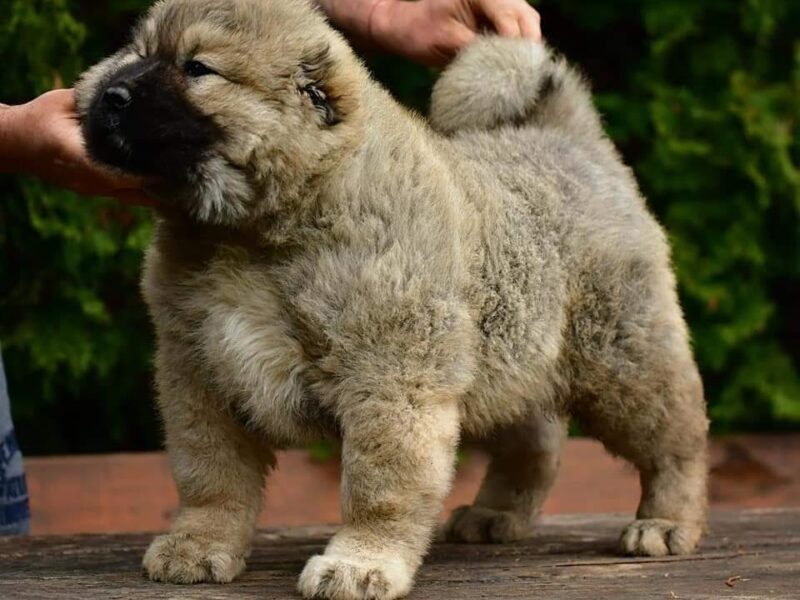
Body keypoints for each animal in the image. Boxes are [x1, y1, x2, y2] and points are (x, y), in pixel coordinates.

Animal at [76, 1, 708, 600]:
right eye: (137, 52)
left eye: (197, 68)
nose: (109, 94)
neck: (252, 234)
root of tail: (570, 140)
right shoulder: (200, 373)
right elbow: (209, 476)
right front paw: (198, 545)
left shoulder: (389, 376)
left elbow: (378, 488)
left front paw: (360, 564)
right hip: (503, 361)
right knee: (537, 444)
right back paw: (496, 514)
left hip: (624, 360)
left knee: (678, 438)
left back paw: (665, 523)